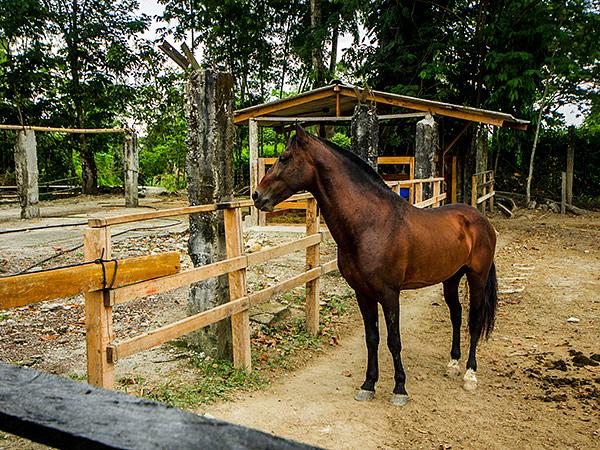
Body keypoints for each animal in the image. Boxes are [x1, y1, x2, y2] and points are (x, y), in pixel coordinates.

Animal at [252, 125, 496, 406]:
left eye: (284, 158)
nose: (256, 195)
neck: (371, 224)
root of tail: (480, 220)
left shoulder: (390, 294)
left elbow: (394, 340)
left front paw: (400, 388)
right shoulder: (363, 293)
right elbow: (372, 338)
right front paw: (368, 384)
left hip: (476, 277)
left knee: (474, 320)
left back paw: (469, 373)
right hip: (451, 278)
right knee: (456, 314)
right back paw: (453, 364)